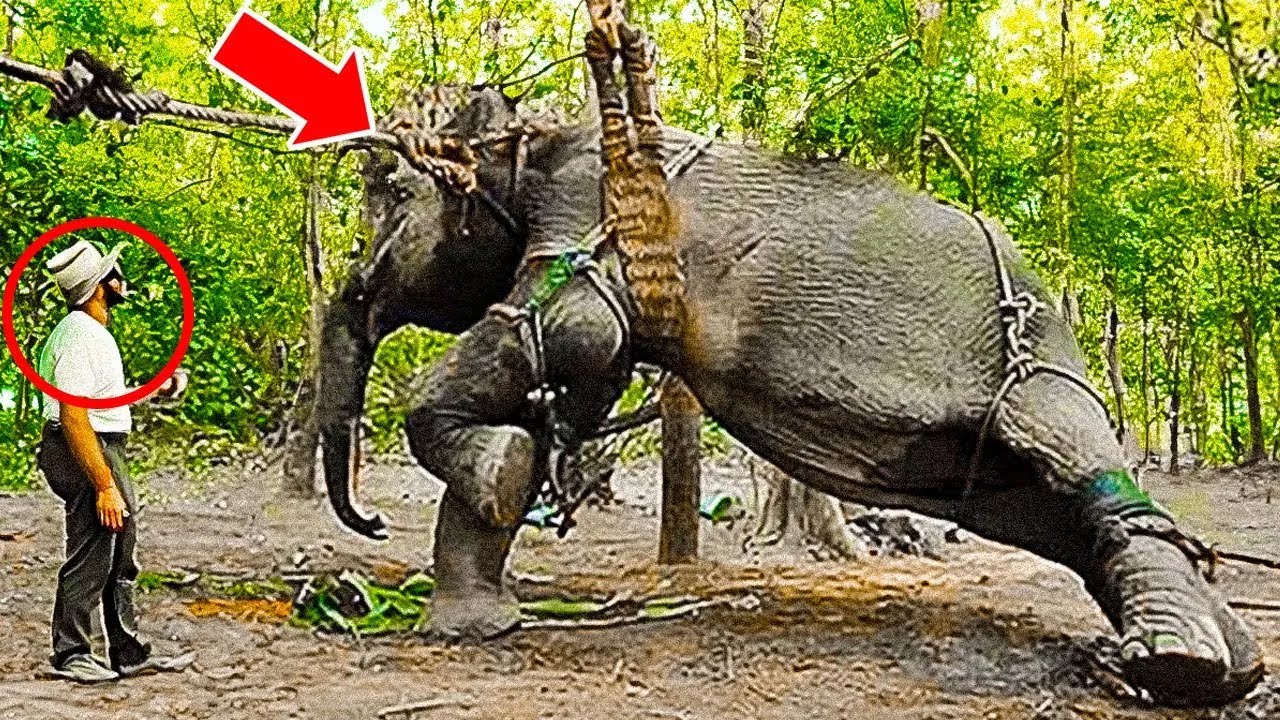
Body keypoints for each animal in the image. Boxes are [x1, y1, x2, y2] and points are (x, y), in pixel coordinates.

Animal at [315, 77, 1264, 705]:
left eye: (389, 193)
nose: (372, 522)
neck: (535, 137)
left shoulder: (582, 215)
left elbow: (578, 335)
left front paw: (496, 473)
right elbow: (581, 371)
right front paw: (481, 613)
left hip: (1036, 369)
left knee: (1083, 473)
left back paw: (1176, 663)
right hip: (987, 456)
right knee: (1061, 515)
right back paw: (1234, 664)